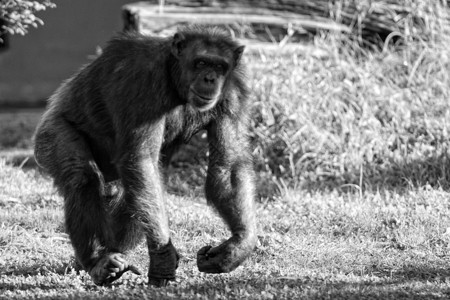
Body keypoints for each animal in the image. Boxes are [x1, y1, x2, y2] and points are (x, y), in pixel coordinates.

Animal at [34, 25, 256, 286]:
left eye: (220, 66)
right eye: (201, 62)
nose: (210, 78)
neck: (175, 80)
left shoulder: (235, 93)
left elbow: (228, 165)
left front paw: (237, 245)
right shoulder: (142, 81)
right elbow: (141, 159)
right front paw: (163, 257)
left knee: (129, 193)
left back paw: (110, 256)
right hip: (49, 133)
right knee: (82, 177)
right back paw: (98, 262)